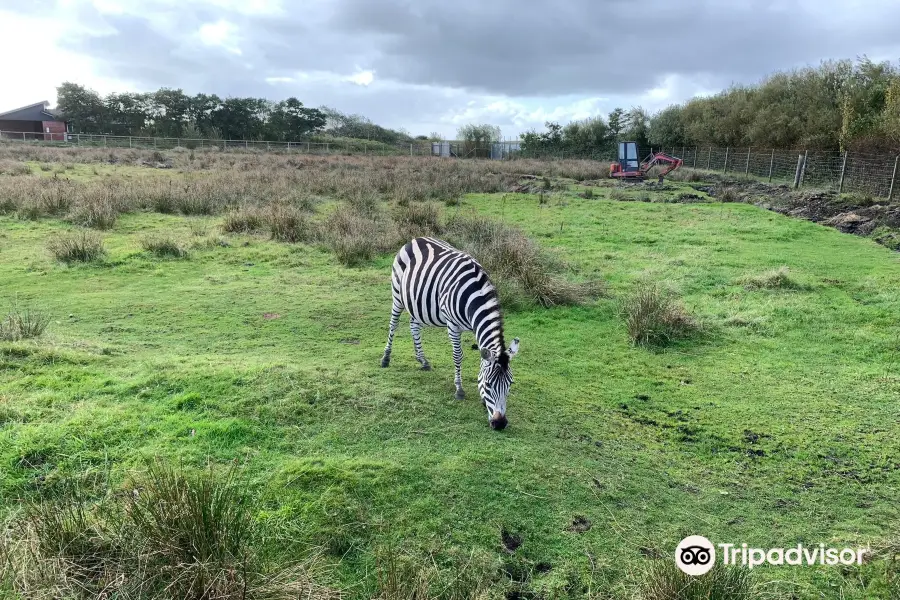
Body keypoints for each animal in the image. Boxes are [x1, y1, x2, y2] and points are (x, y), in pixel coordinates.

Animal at [380, 237, 520, 428]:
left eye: (510, 384)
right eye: (489, 384)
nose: (500, 424)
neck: (473, 294)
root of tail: (416, 239)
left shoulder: (474, 327)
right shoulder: (453, 325)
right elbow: (458, 356)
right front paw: (459, 390)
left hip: (418, 304)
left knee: (414, 325)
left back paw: (422, 359)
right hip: (397, 295)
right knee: (393, 324)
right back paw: (386, 358)